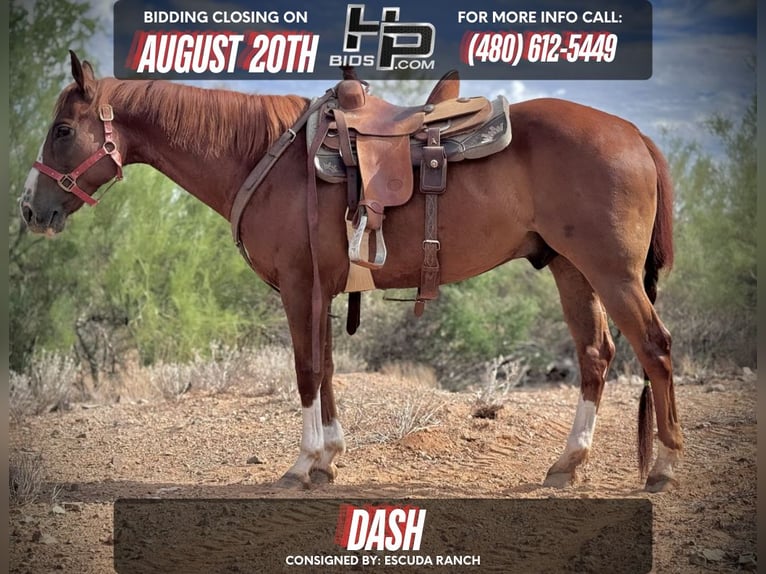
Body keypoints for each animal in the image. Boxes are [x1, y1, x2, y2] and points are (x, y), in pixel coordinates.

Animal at [21, 51, 682, 492]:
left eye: (62, 129)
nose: (30, 208)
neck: (265, 156)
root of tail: (634, 134)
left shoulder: (298, 287)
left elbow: (307, 370)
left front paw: (301, 463)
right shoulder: (321, 288)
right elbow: (330, 367)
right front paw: (328, 459)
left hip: (613, 274)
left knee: (654, 347)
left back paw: (665, 467)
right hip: (572, 271)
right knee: (597, 355)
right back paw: (567, 465)